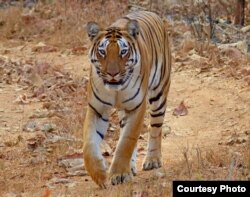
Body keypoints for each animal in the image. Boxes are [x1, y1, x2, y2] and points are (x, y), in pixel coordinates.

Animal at [83, 10, 171, 188]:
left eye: (123, 52)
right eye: (102, 52)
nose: (112, 73)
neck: (116, 91)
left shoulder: (137, 107)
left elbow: (126, 142)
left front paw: (119, 174)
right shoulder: (97, 109)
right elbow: (89, 143)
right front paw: (99, 174)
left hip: (159, 94)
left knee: (155, 128)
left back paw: (152, 160)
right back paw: (131, 166)